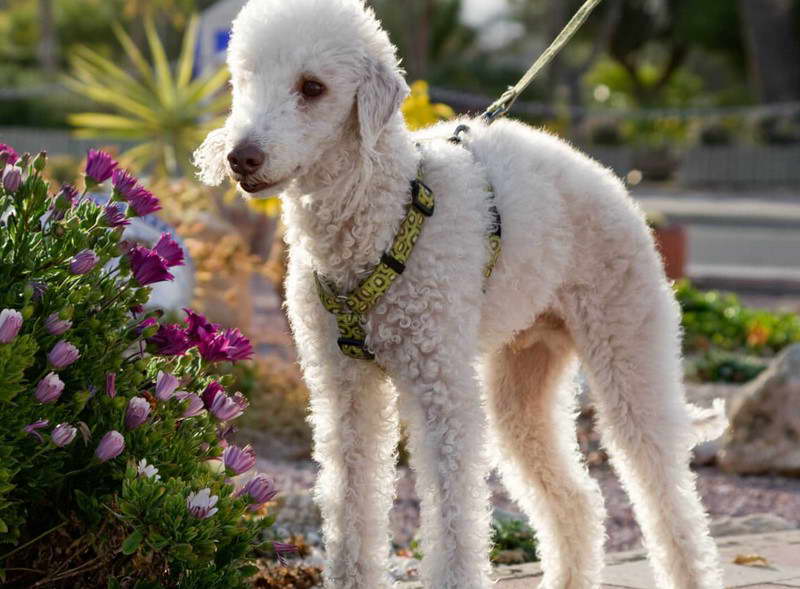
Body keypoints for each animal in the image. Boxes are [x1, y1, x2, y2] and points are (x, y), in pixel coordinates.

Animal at [192, 2, 724, 584]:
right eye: (244, 81)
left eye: (312, 87)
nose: (241, 157)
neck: (380, 215)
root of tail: (610, 182)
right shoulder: (342, 387)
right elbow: (349, 497)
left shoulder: (440, 386)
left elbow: (453, 511)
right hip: (524, 375)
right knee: (579, 499)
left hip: (627, 339)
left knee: (665, 492)